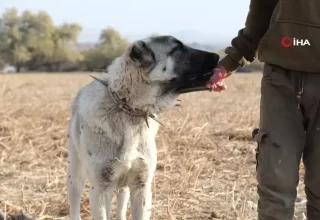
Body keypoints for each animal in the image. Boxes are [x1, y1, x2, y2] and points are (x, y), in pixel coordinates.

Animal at [66, 35, 219, 219]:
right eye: (177, 48)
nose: (217, 56)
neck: (127, 109)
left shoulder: (141, 188)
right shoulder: (100, 190)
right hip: (75, 176)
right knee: (75, 200)